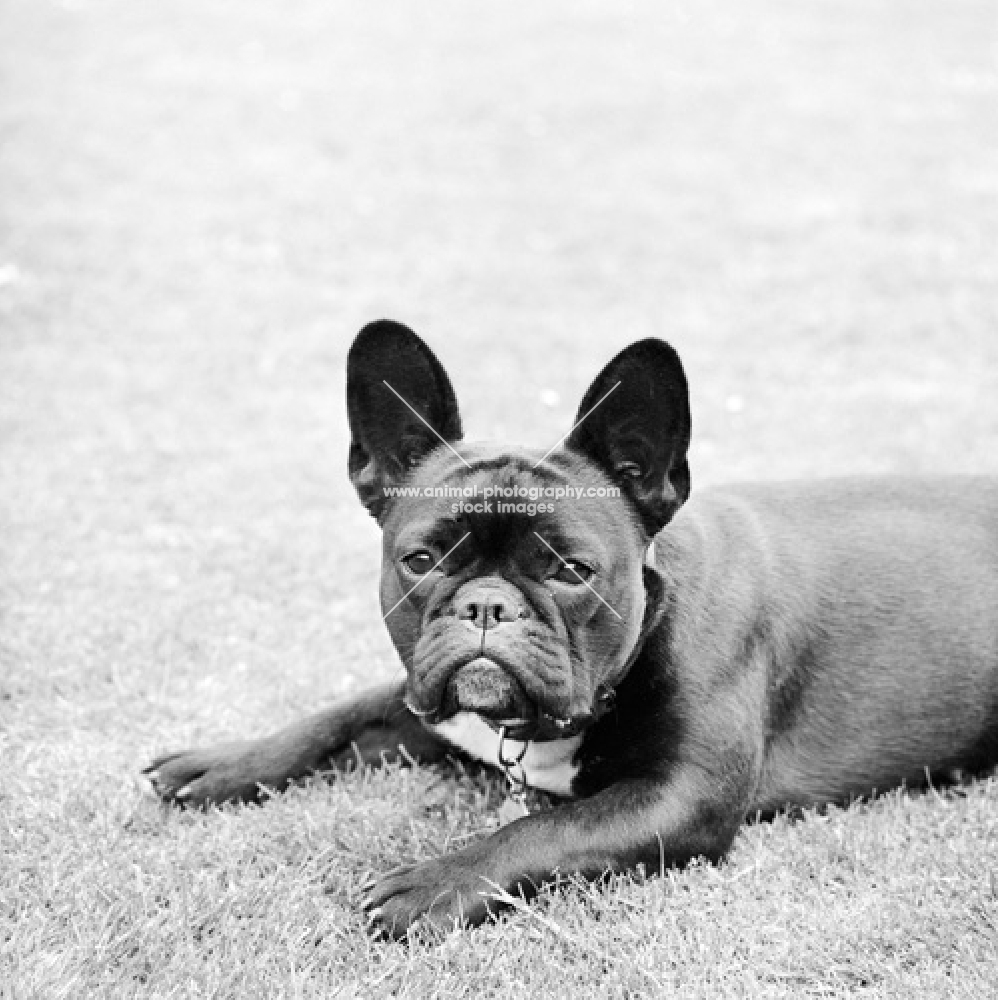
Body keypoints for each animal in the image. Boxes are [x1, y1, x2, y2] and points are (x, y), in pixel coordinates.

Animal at [146, 320, 998, 936]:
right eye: (422, 559)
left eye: (571, 570)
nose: (487, 604)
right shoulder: (429, 703)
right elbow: (339, 714)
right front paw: (224, 762)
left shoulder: (680, 798)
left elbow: (548, 829)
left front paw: (436, 880)